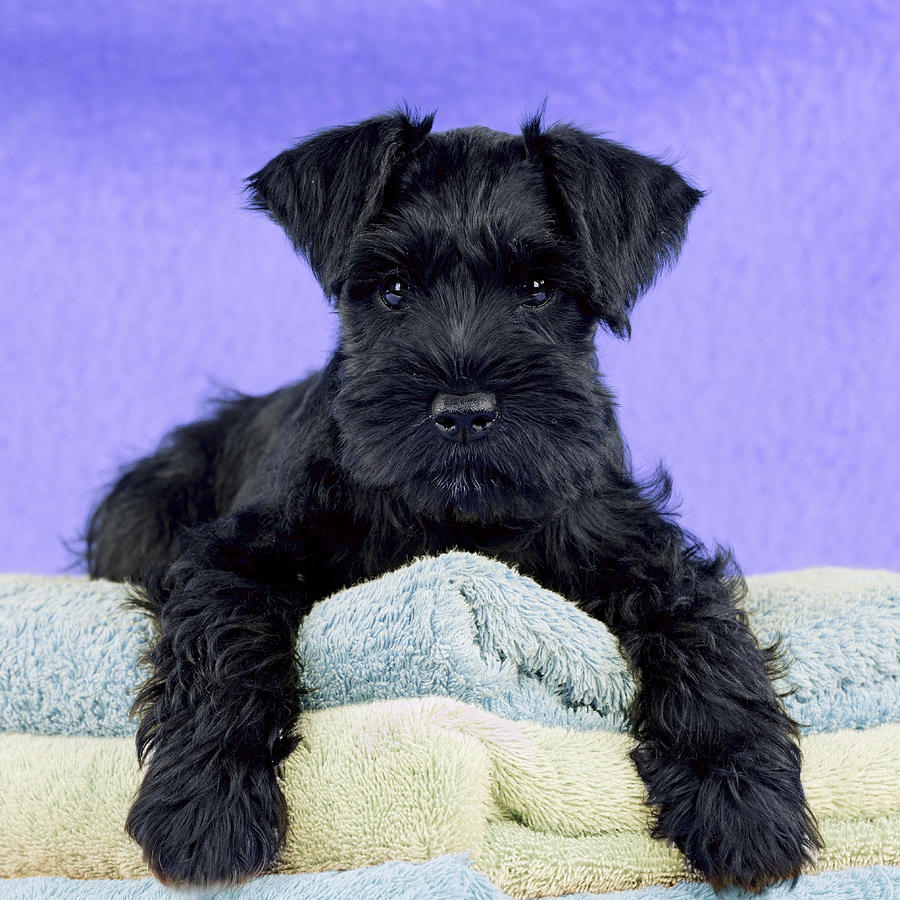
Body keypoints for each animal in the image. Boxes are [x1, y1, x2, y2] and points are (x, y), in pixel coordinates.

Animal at [86, 112, 824, 892]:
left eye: (538, 286)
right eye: (393, 288)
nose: (464, 412)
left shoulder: (644, 553)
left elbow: (705, 641)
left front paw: (743, 801)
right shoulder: (237, 553)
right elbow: (224, 649)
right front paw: (207, 802)